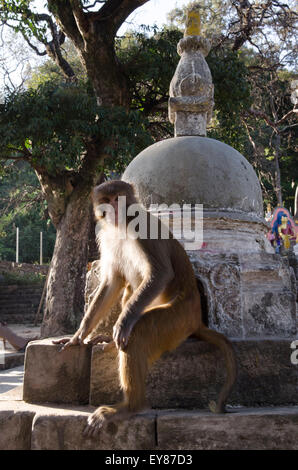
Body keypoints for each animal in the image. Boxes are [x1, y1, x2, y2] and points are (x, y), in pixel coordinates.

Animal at [52, 181, 236, 436]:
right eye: (106, 200)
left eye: (118, 198)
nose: (113, 209)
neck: (122, 226)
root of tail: (197, 318)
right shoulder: (106, 236)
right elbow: (112, 282)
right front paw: (79, 335)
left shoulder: (143, 229)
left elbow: (160, 274)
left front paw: (122, 324)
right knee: (129, 289)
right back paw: (110, 343)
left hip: (178, 320)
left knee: (139, 332)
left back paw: (130, 406)